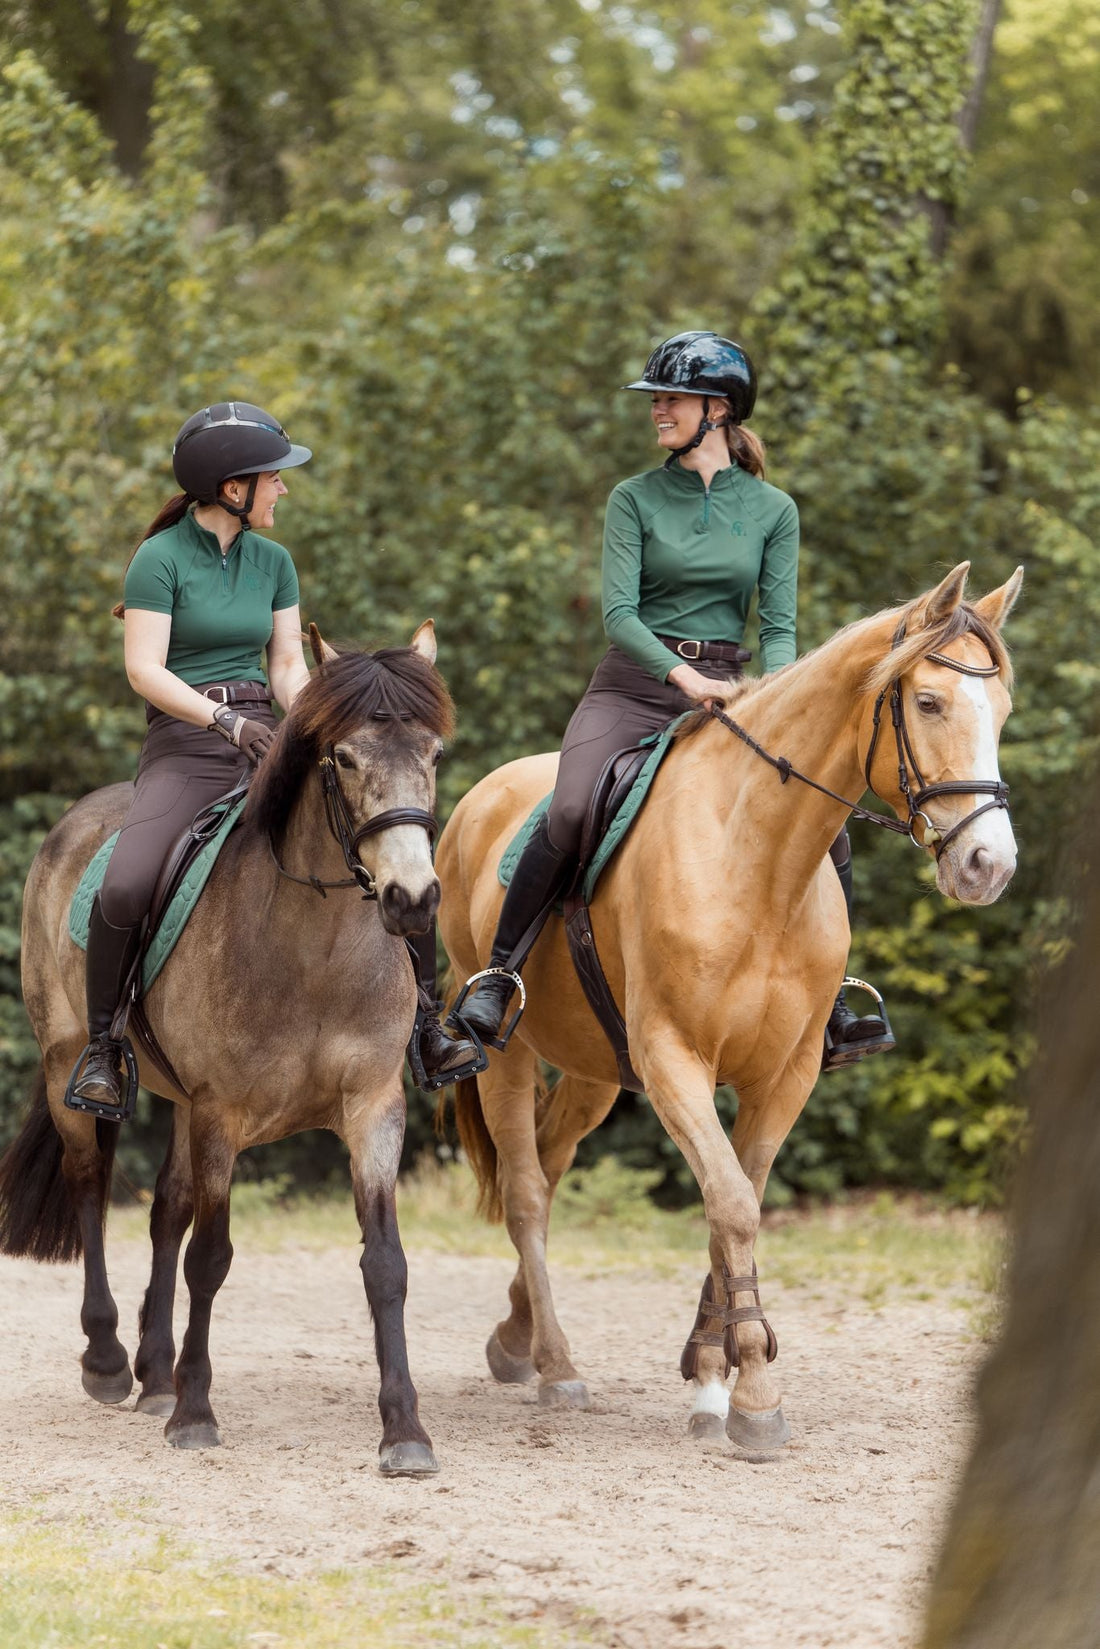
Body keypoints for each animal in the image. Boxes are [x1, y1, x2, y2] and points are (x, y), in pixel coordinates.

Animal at [0, 623, 450, 1476]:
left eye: (434, 753)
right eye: (345, 758)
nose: (413, 900)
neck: (315, 953)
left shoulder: (374, 1109)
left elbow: (387, 1263)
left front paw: (405, 1428)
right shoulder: (222, 1114)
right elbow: (210, 1256)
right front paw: (196, 1413)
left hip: (180, 1102)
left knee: (165, 1210)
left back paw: (155, 1371)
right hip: (68, 1059)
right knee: (91, 1186)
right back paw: (110, 1360)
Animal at [435, 563, 1023, 1449]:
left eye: (1005, 709)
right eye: (927, 702)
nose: (990, 863)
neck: (757, 857)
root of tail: (479, 800)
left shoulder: (785, 1073)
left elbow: (734, 1198)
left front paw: (714, 1373)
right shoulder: (675, 1059)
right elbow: (733, 1205)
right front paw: (752, 1393)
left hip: (594, 1072)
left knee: (551, 1157)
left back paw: (516, 1338)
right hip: (508, 1050)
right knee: (527, 1189)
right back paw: (557, 1365)